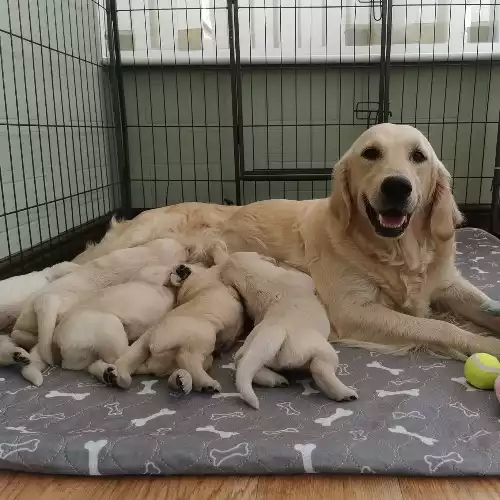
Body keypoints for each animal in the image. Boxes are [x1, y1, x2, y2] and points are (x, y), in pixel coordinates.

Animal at [70, 125, 500, 360]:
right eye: (371, 153)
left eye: (418, 157)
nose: (397, 186)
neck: (396, 252)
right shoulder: (352, 310)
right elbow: (440, 329)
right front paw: (487, 346)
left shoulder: (447, 284)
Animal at [111, 262, 244, 394]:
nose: (180, 267)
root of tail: (150, 337)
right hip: (202, 336)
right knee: (187, 359)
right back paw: (208, 384)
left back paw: (181, 381)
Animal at [217, 250, 358, 410]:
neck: (254, 278)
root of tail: (275, 330)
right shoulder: (301, 279)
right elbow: (306, 278)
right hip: (319, 349)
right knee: (320, 368)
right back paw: (345, 393)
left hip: (252, 349)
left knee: (242, 363)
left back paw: (275, 379)